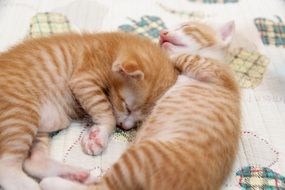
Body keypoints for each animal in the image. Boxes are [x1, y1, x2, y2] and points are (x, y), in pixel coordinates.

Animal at [0, 31, 175, 189]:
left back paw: (75, 175)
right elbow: (106, 112)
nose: (125, 127)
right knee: (6, 168)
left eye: (139, 121)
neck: (110, 48)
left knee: (32, 163)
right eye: (126, 106)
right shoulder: (84, 79)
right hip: (19, 113)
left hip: (36, 127)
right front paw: (101, 135)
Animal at [39, 20, 240, 190]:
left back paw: (53, 181)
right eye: (169, 28)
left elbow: (186, 56)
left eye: (186, 27)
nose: (163, 32)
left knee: (102, 186)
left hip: (142, 156)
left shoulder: (212, 71)